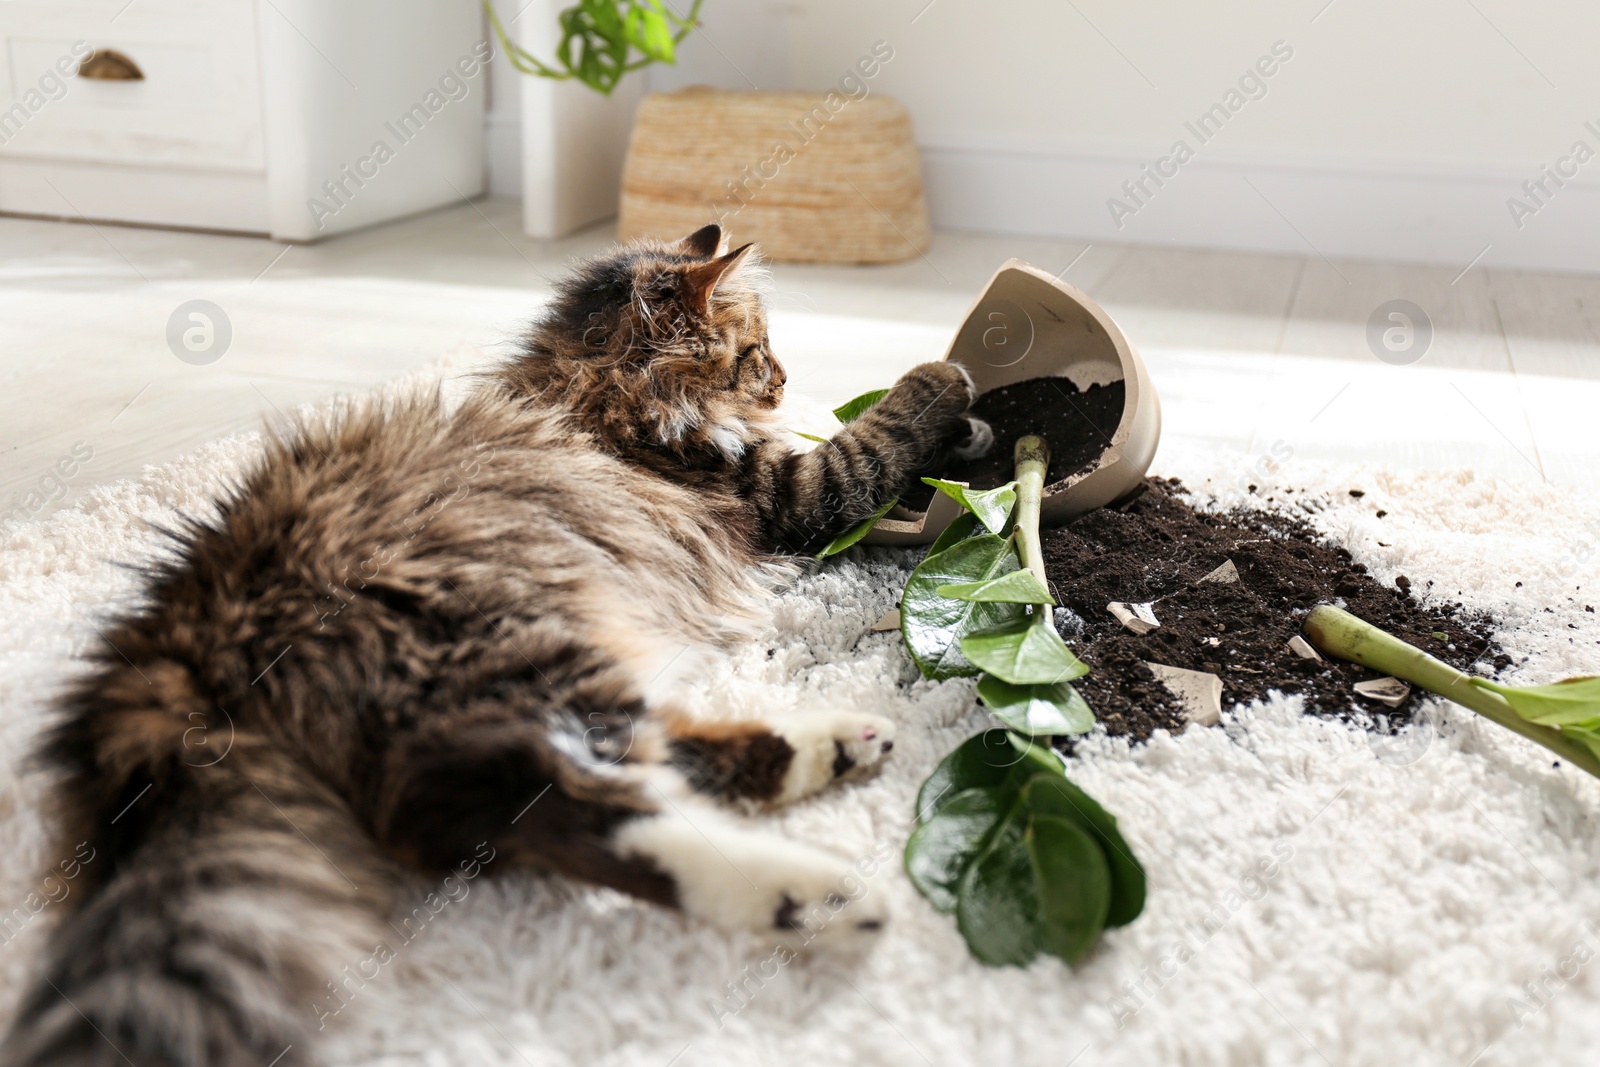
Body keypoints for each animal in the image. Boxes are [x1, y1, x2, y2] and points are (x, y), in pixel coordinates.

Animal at [6, 220, 992, 1062]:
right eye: (755, 356)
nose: (786, 380)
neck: (592, 385)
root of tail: (180, 640)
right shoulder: (792, 491)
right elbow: (876, 437)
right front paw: (949, 381)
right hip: (509, 644)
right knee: (581, 803)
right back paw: (822, 893)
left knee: (567, 788)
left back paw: (834, 749)